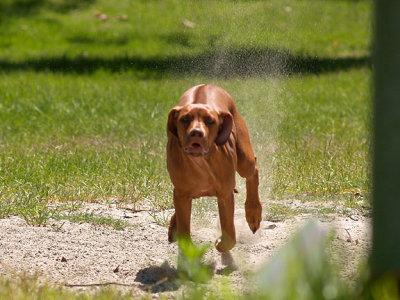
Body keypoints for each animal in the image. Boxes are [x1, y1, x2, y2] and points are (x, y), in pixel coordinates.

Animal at [166, 84, 262, 253]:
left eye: (210, 121)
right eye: (185, 119)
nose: (196, 133)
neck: (200, 162)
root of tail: (207, 85)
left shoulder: (225, 194)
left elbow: (229, 234)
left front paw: (220, 243)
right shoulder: (182, 194)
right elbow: (184, 229)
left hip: (244, 158)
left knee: (253, 170)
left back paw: (253, 211)